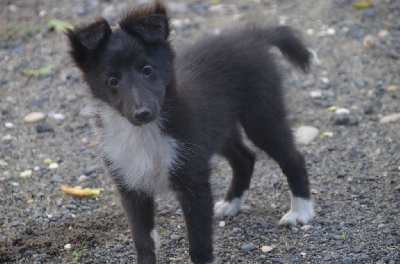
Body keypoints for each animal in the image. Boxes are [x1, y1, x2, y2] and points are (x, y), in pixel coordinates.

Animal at [67, 1, 314, 262]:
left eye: (147, 69)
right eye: (113, 81)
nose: (142, 113)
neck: (145, 133)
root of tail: (253, 37)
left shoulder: (194, 181)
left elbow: (199, 242)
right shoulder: (130, 186)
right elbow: (143, 241)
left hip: (262, 117)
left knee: (293, 158)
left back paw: (300, 212)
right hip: (218, 128)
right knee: (245, 158)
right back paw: (231, 204)